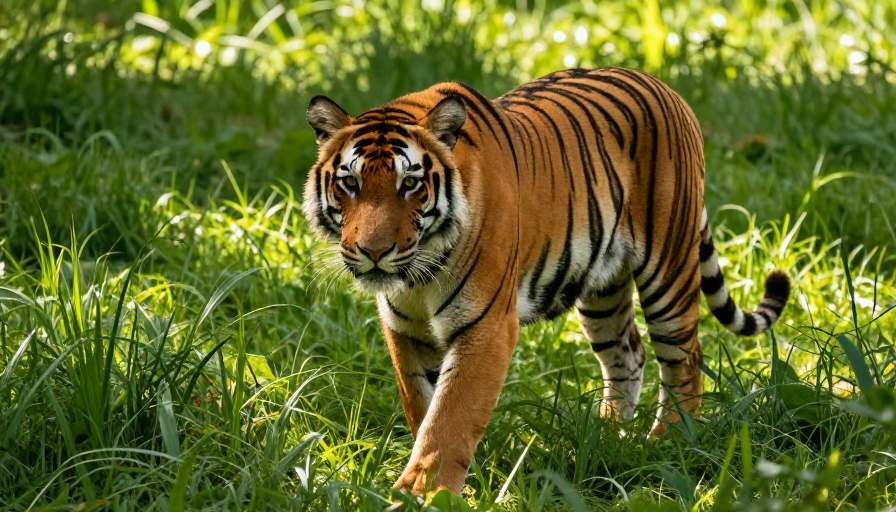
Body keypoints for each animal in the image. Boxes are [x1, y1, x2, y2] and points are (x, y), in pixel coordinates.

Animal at [302, 67, 790, 495]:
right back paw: (607, 438)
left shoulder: (486, 328)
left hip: (668, 266)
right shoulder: (405, 330)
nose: (374, 251)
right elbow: (422, 407)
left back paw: (669, 443)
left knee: (686, 358)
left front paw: (420, 493)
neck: (420, 275)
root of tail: (665, 86)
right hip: (602, 286)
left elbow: (449, 418)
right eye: (349, 183)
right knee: (627, 353)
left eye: (410, 184)